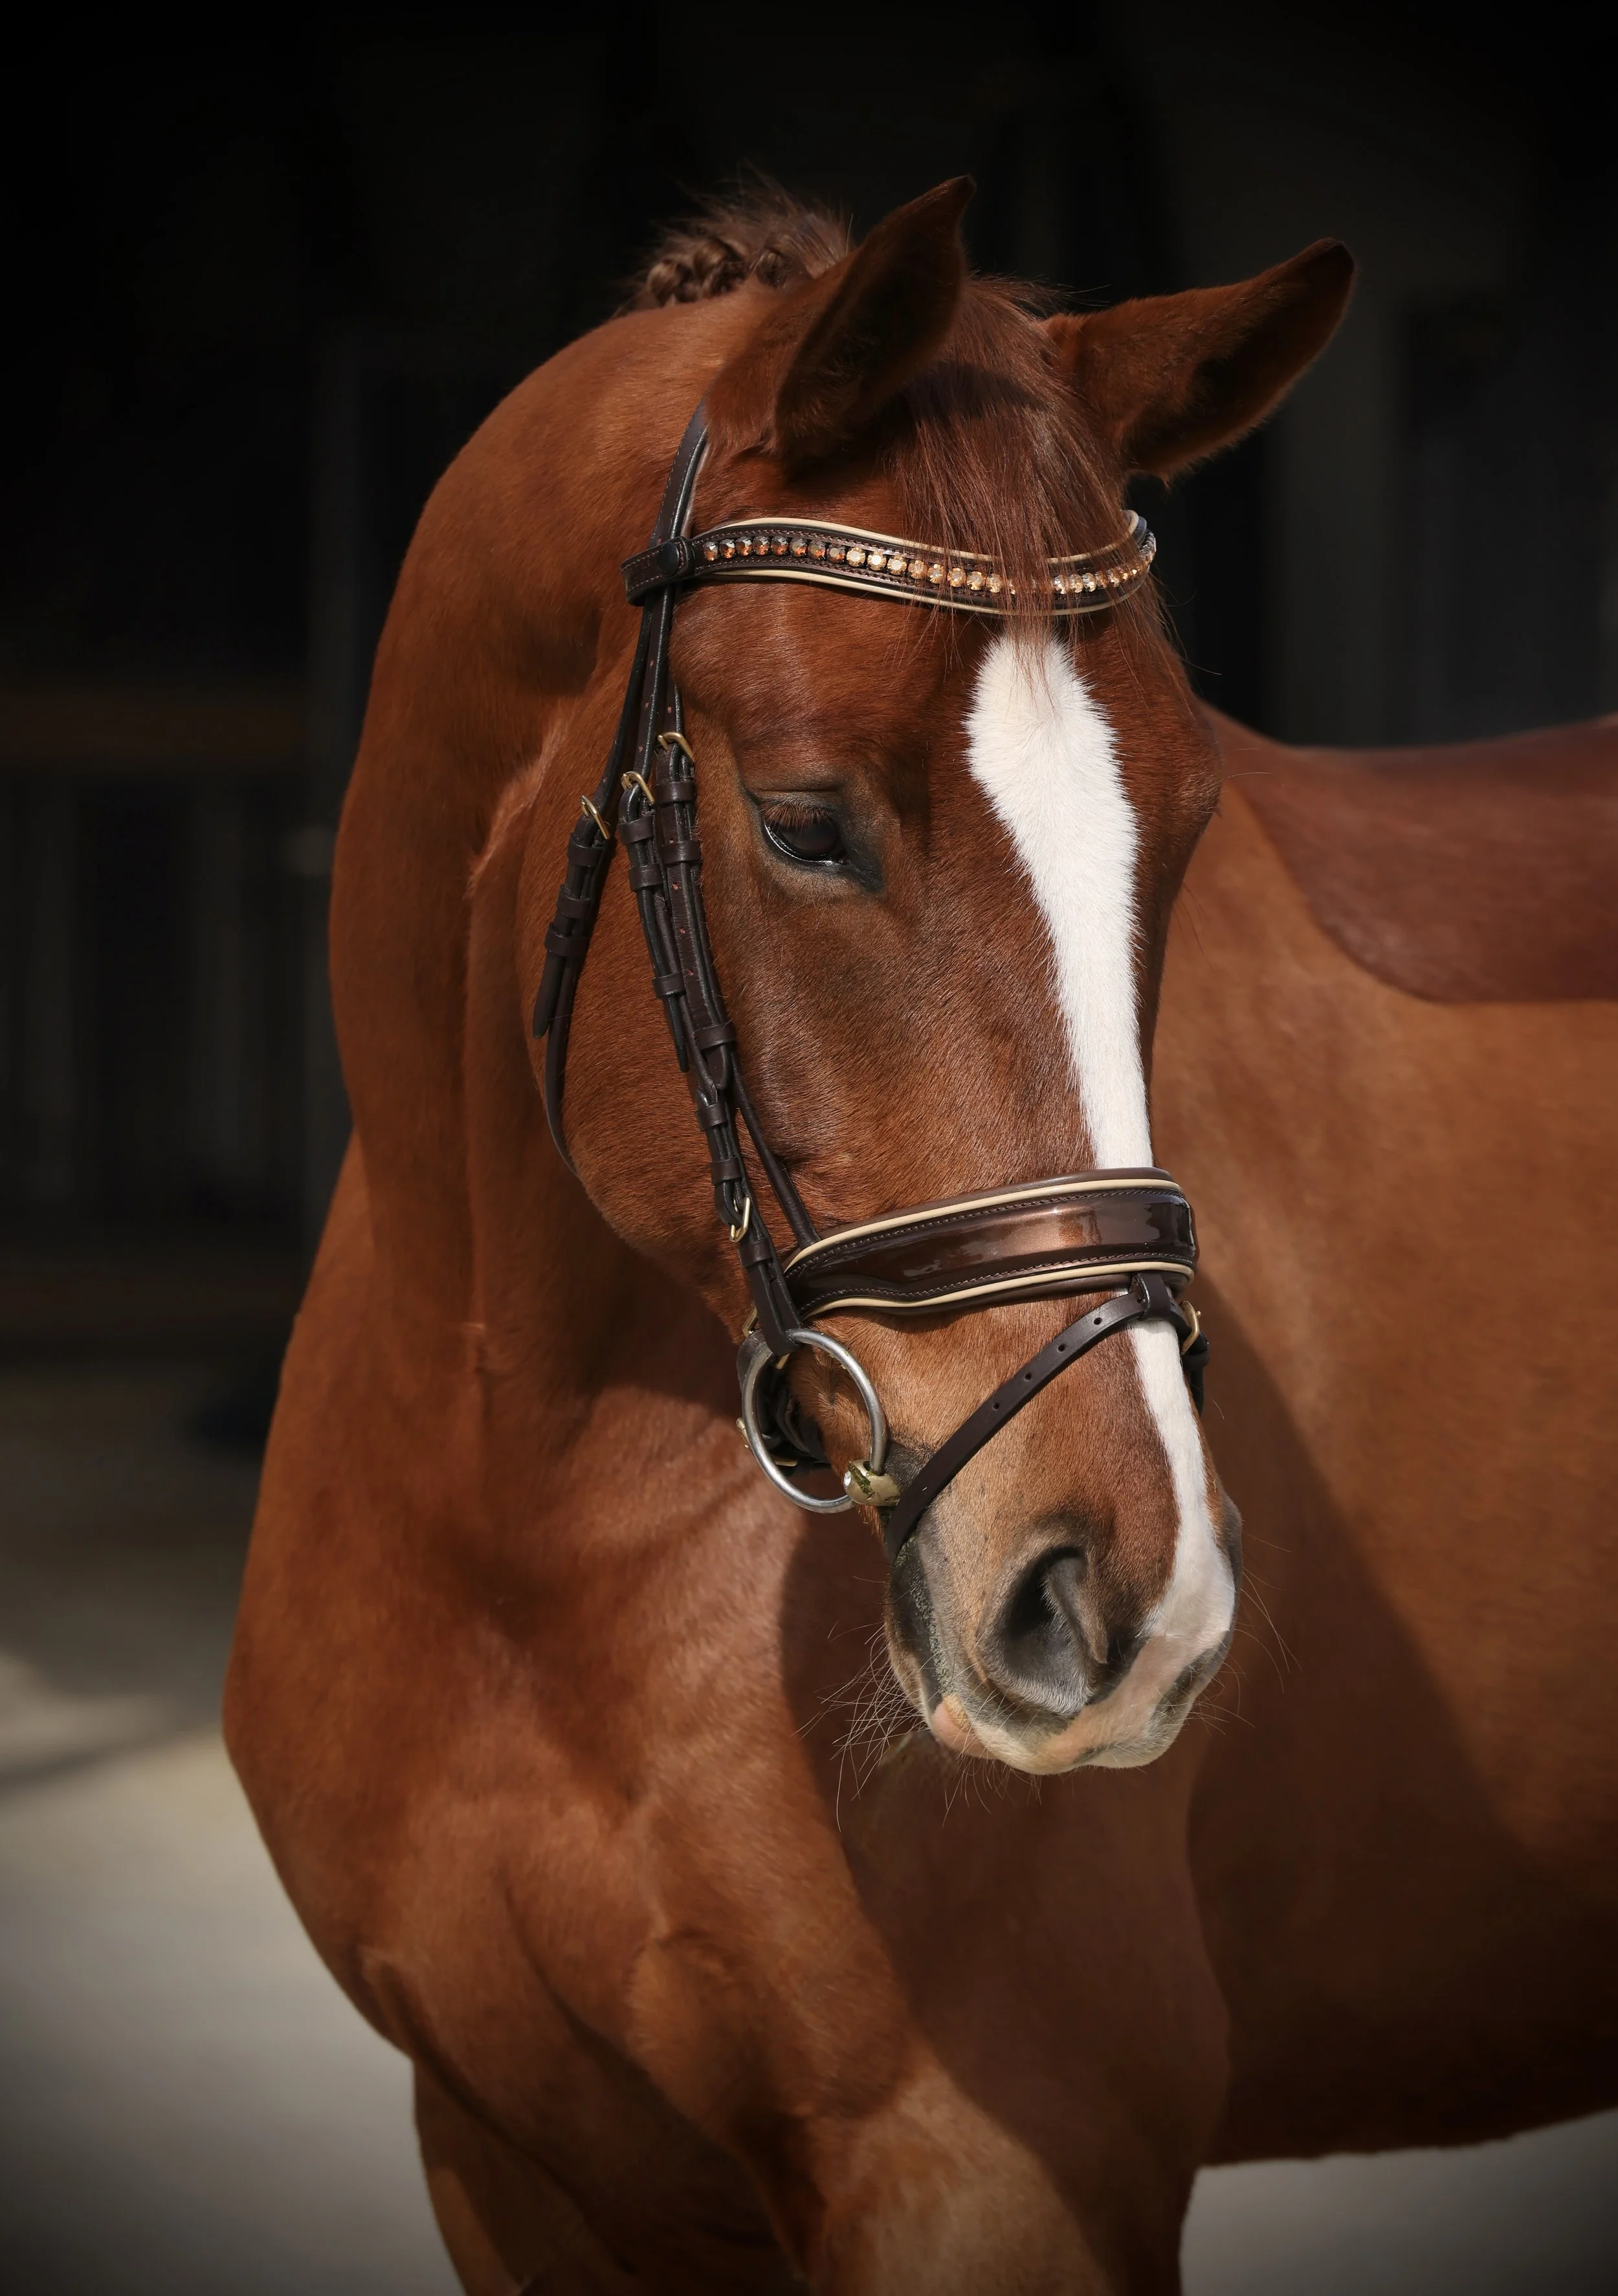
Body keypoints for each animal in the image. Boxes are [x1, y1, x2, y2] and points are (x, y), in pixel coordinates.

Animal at [225, 182, 1618, 2292]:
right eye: (805, 823)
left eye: (1185, 827)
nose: (1123, 1601)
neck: (519, 1517)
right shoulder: (511, 2160)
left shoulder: (988, 2176)